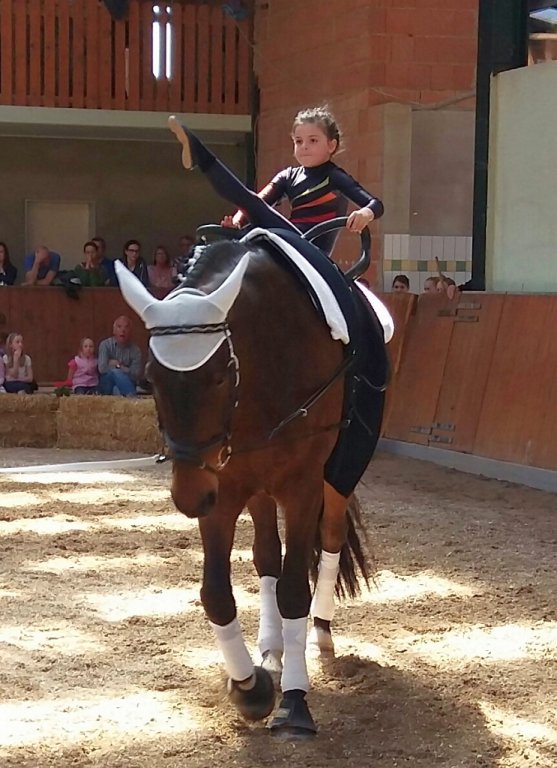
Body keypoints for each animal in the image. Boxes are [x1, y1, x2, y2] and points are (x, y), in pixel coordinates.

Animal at [115, 222, 391, 737]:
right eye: (151, 376)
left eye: (222, 375)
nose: (187, 497)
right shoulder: (221, 488)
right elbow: (217, 595)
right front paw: (251, 686)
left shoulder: (302, 485)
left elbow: (294, 589)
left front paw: (295, 703)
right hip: (258, 488)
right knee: (266, 555)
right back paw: (273, 650)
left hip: (339, 474)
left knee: (329, 540)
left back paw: (320, 636)